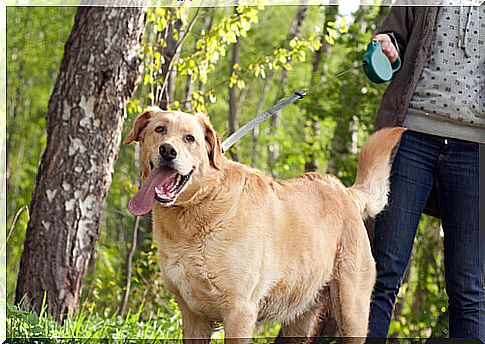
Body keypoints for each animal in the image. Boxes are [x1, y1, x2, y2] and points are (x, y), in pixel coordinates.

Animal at [123, 107, 402, 342]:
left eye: (189, 138)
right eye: (160, 129)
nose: (167, 151)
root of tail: (343, 190)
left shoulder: (240, 310)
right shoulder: (193, 315)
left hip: (351, 309)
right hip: (301, 317)